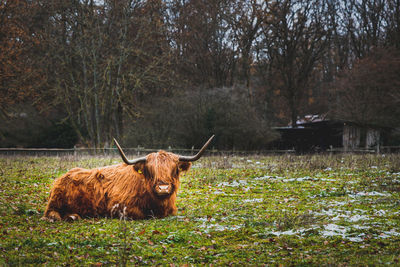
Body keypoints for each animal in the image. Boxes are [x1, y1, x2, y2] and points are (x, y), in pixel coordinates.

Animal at [42, 136, 214, 222]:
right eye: (150, 170)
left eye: (174, 168)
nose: (163, 188)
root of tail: (63, 176)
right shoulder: (118, 206)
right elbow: (138, 214)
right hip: (55, 203)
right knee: (51, 213)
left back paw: (72, 216)